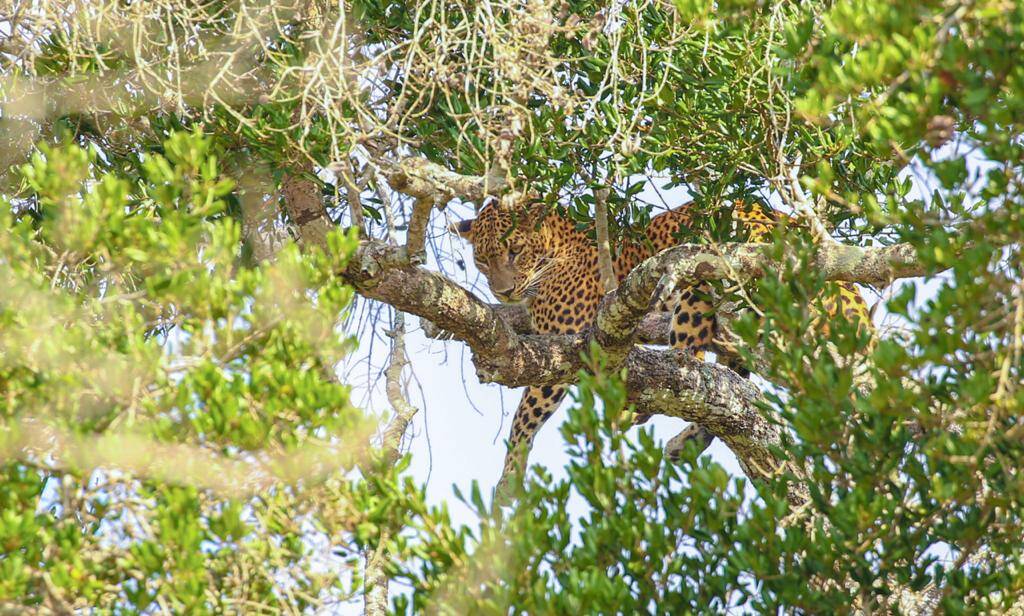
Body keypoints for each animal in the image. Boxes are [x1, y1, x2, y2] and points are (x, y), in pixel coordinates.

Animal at [450, 197, 872, 497]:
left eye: (515, 251)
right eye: (482, 260)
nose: (502, 291)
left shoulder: (563, 347)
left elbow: (525, 417)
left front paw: (508, 480)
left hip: (697, 288)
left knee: (690, 372)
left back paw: (635, 412)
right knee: (727, 386)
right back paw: (684, 439)